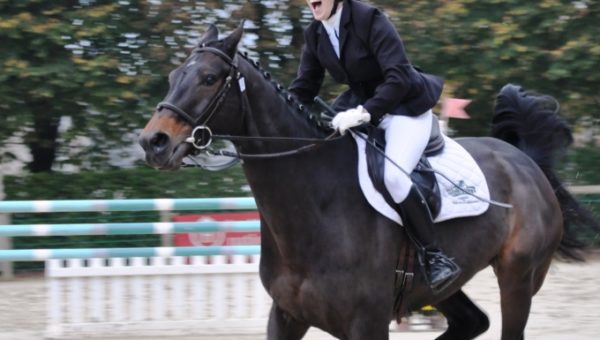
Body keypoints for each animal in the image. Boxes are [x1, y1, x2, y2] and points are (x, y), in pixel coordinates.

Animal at [139, 23, 596, 340]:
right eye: (174, 75)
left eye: (209, 78)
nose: (153, 142)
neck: (312, 204)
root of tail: (525, 161)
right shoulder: (286, 316)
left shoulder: (366, 323)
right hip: (446, 285)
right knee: (472, 321)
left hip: (518, 277)